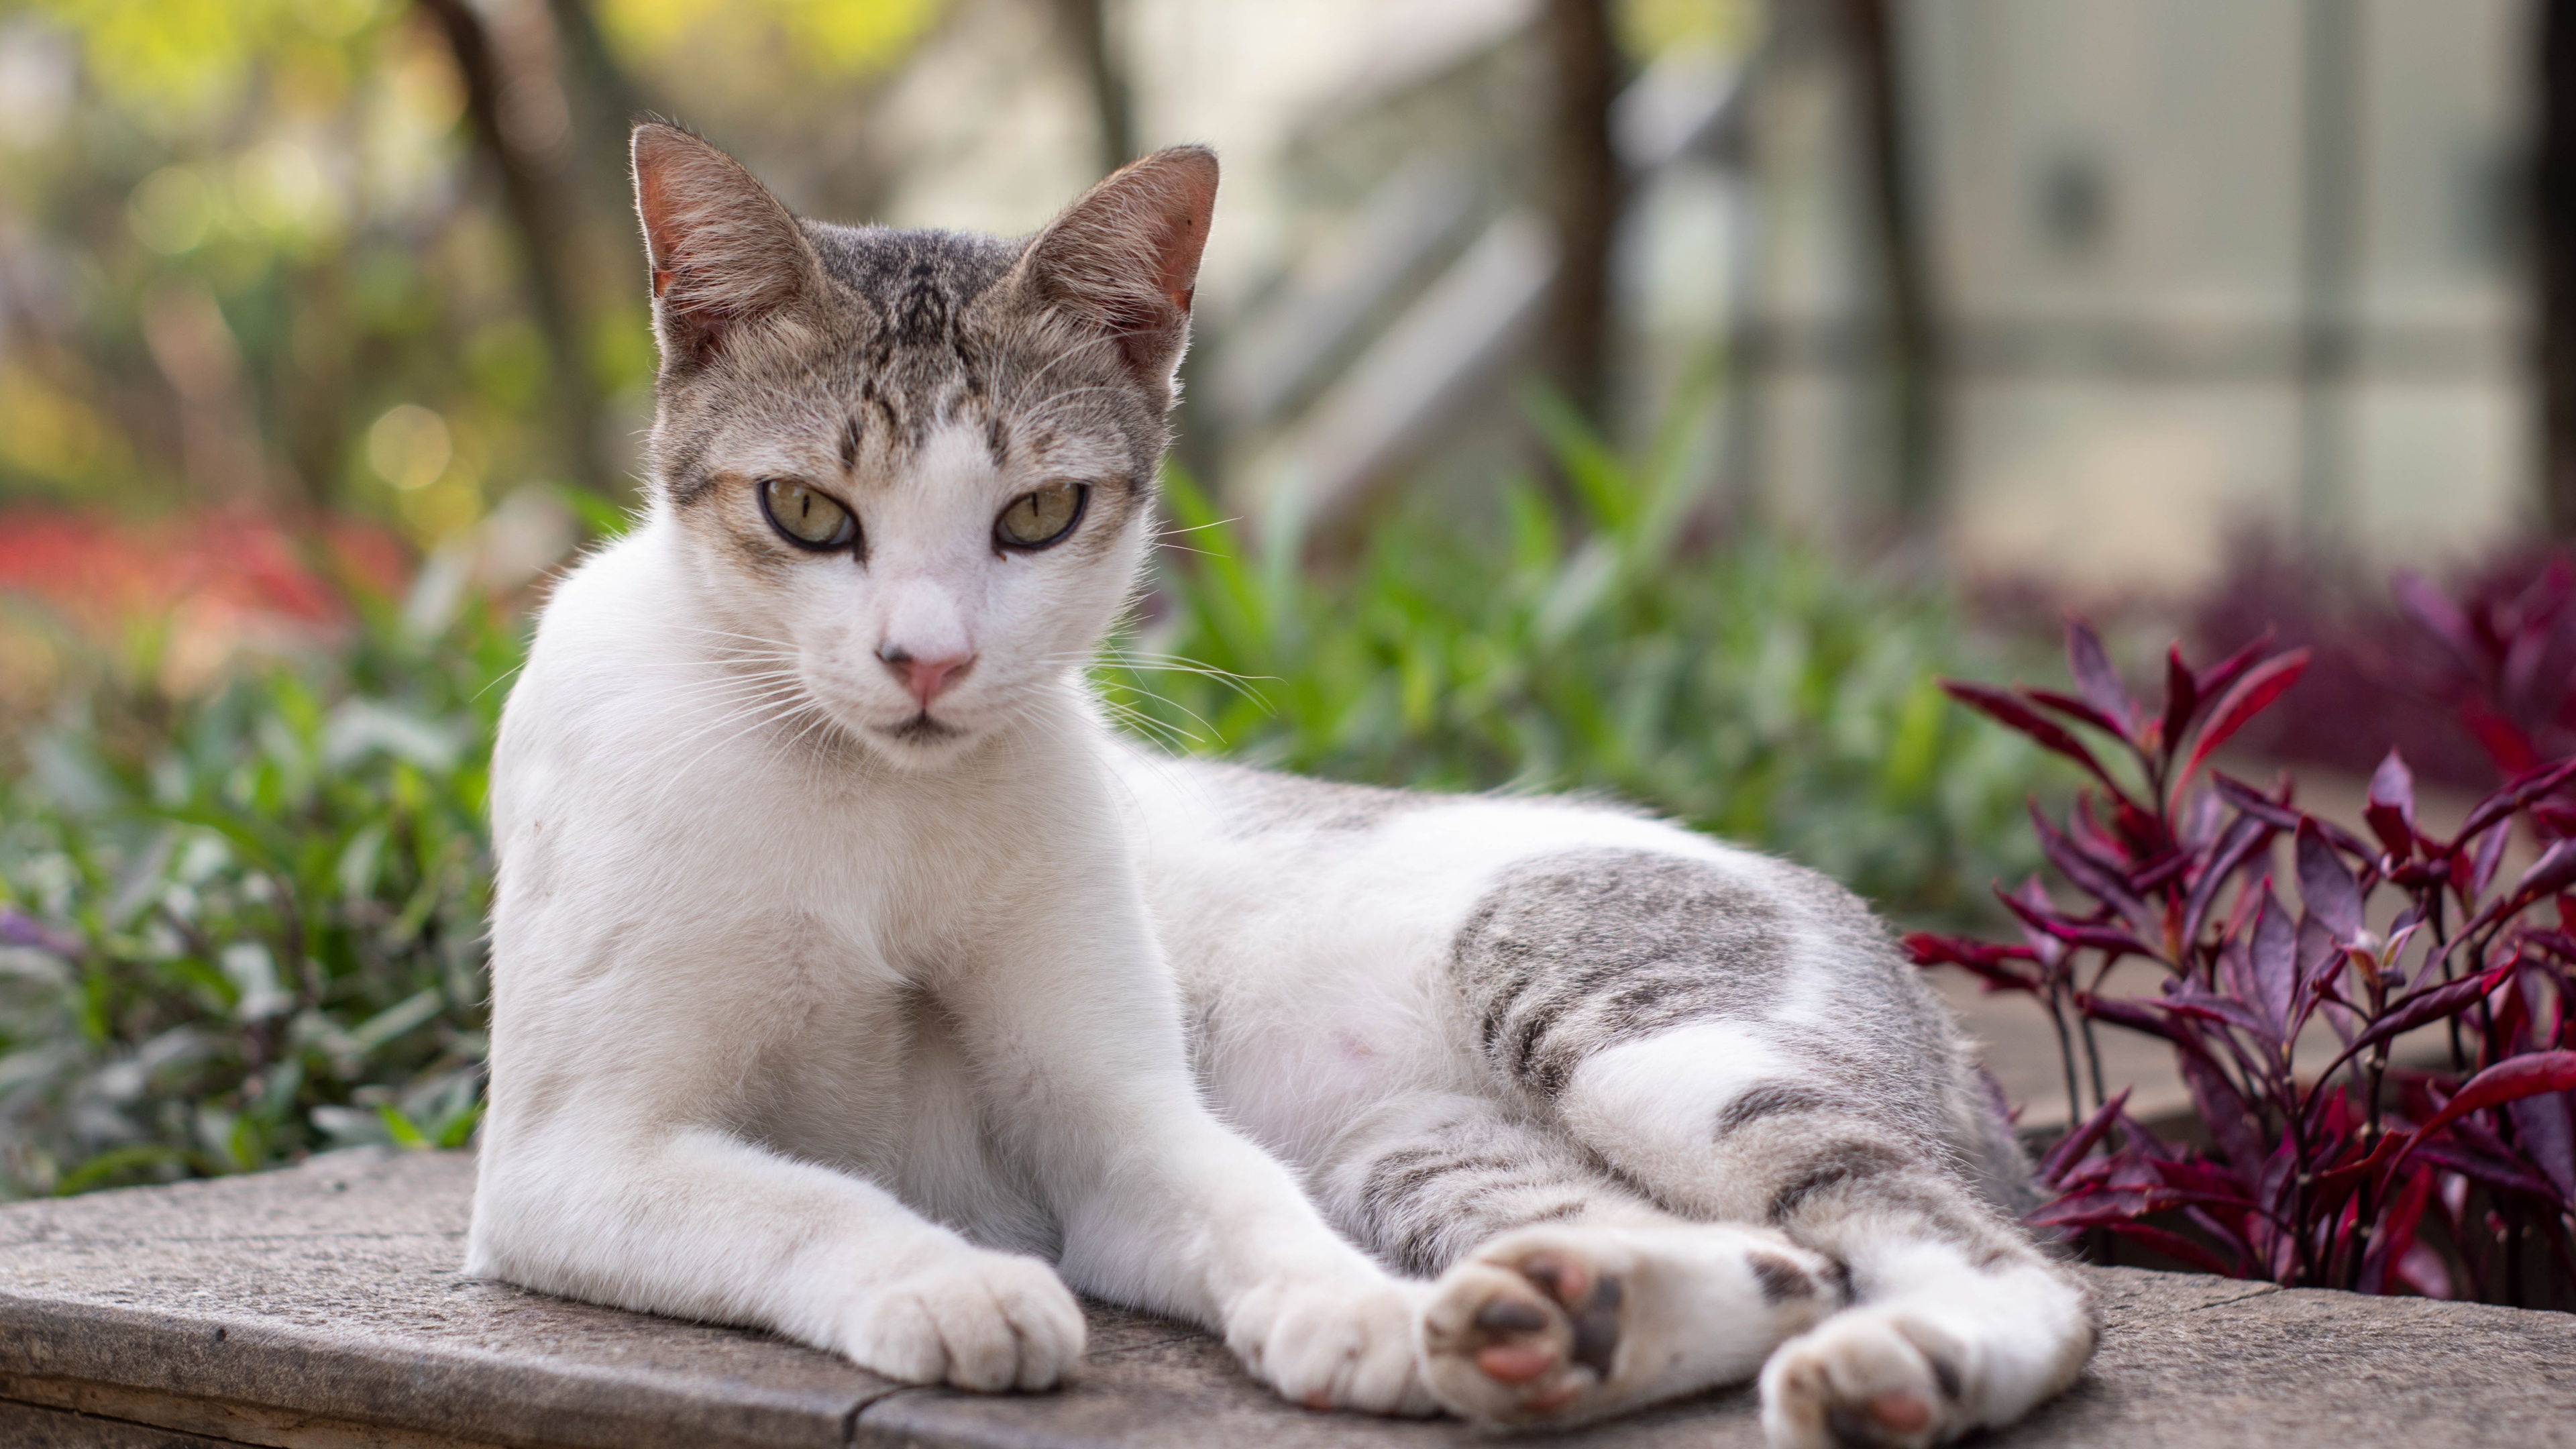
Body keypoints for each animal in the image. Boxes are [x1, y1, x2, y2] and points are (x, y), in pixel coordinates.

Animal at [468, 127, 2092, 1444]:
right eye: (808, 512)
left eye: (1037, 514)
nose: (929, 661)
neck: (867, 805)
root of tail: (1931, 1008)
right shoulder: (566, 1162)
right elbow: (804, 1195)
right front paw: (956, 1285)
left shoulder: (1117, 1119)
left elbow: (1230, 1190)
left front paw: (1345, 1310)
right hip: (1423, 1147)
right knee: (1787, 1257)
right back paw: (1562, 1319)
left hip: (1633, 1020)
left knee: (2003, 1268)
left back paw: (1896, 1366)